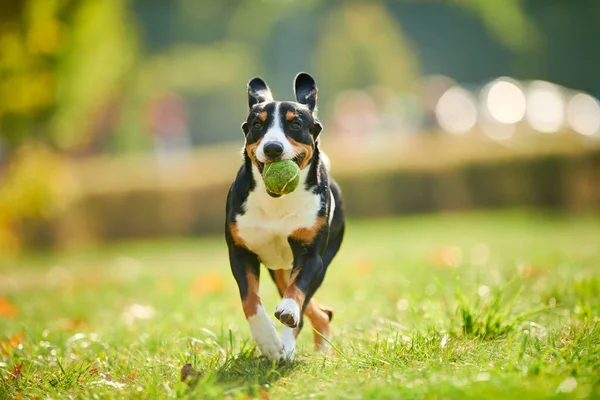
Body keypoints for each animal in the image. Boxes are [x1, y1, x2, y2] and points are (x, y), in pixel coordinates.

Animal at [225, 72, 344, 362]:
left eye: (296, 124)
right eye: (257, 125)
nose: (273, 148)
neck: (276, 203)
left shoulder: (311, 257)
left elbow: (297, 292)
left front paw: (288, 313)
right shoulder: (240, 252)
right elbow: (249, 299)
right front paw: (267, 340)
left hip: (319, 262)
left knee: (310, 308)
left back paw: (293, 345)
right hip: (278, 269)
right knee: (319, 312)